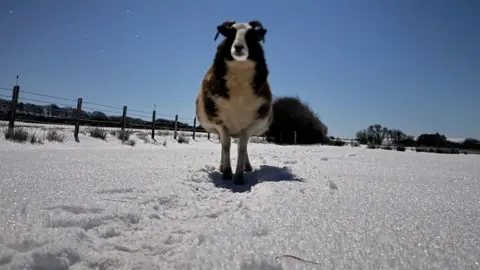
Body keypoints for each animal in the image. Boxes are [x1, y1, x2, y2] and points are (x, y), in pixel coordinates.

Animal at [193, 19, 272, 186]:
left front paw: (239, 176)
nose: (238, 47)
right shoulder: (220, 122)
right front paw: (227, 172)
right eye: (230, 33)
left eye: (252, 35)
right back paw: (222, 166)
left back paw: (247, 166)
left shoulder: (249, 125)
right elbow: (226, 146)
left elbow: (241, 148)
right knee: (224, 146)